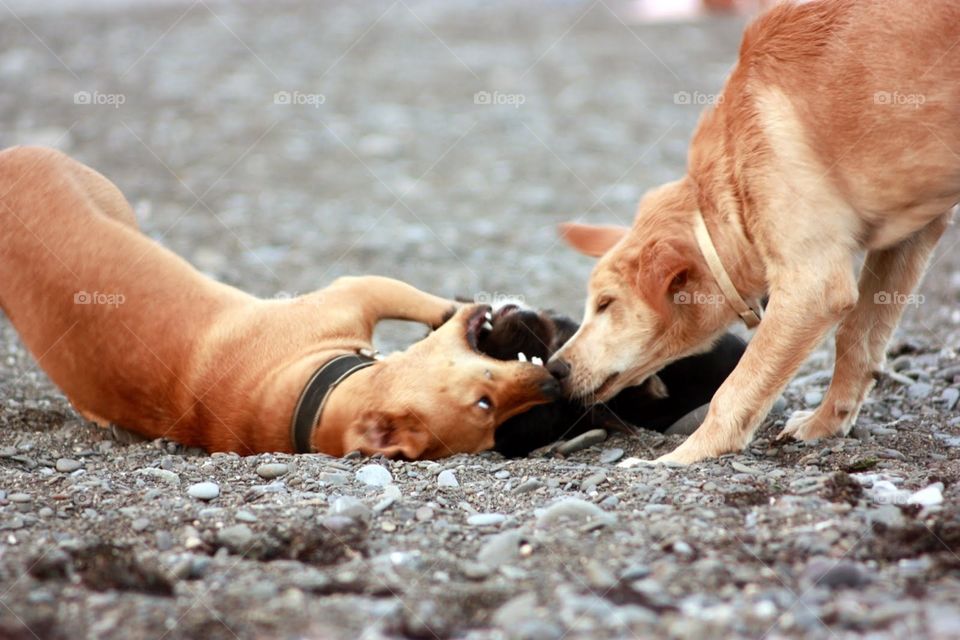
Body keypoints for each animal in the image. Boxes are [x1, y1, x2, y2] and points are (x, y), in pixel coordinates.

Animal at [0, 149, 560, 460]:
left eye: (500, 425)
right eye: (485, 403)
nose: (553, 384)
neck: (309, 396)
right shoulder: (358, 289)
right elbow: (427, 301)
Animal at [548, 2, 960, 468]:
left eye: (606, 303)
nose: (555, 368)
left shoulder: (813, 285)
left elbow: (734, 389)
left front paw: (681, 456)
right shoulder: (912, 234)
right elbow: (858, 338)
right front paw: (827, 421)